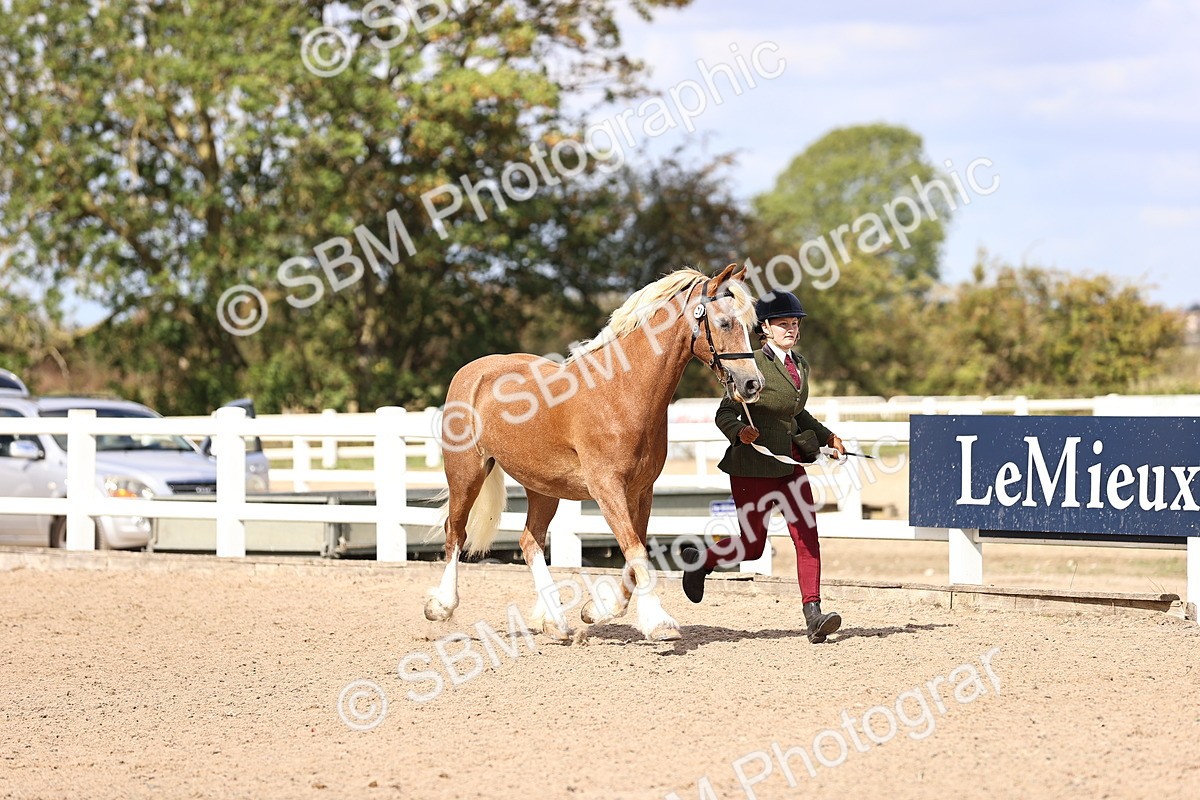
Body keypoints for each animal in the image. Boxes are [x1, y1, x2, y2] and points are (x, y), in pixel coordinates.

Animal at [424, 263, 764, 641]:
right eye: (724, 323)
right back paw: (441, 606)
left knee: (530, 541)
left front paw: (596, 611)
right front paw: (659, 623)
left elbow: (634, 554)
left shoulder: (641, 492)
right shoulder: (607, 488)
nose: (753, 385)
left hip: (542, 488)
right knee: (456, 533)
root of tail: (473, 372)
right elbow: (634, 550)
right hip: (466, 473)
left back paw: (555, 623)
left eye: (750, 326)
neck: (621, 391)